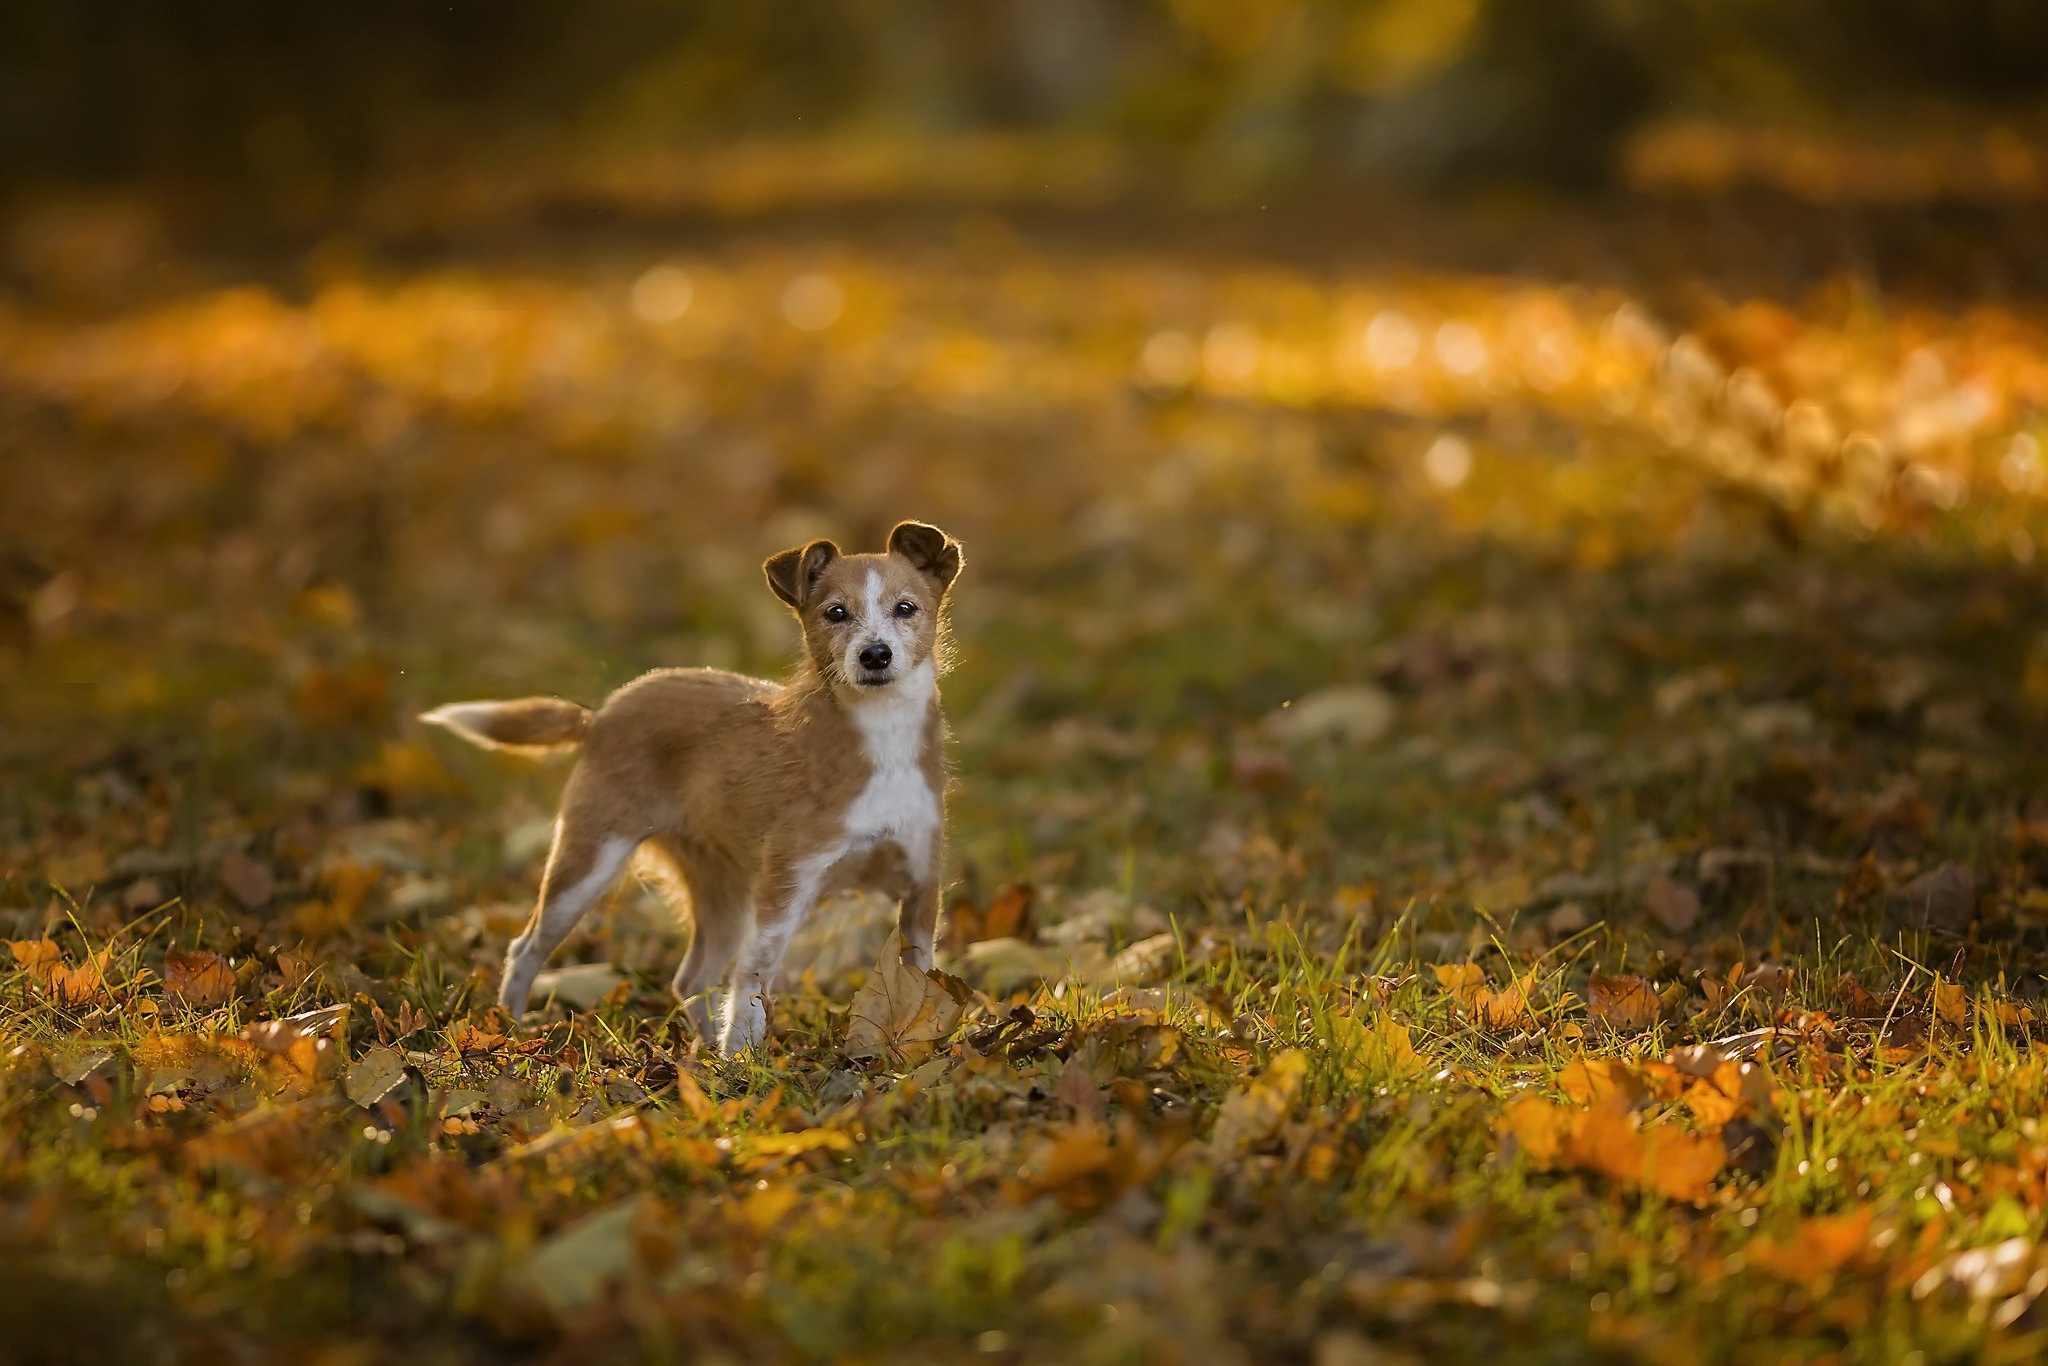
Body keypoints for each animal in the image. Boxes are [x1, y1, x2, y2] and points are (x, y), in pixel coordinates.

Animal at [419, 518, 962, 1056]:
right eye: (836, 613)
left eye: (906, 608)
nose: (875, 655)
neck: (882, 742)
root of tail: (599, 716)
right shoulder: (785, 889)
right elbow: (749, 990)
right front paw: (741, 1065)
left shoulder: (920, 891)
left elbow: (918, 983)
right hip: (588, 865)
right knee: (527, 949)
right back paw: (508, 1030)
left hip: (725, 895)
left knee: (691, 978)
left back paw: (700, 1054)